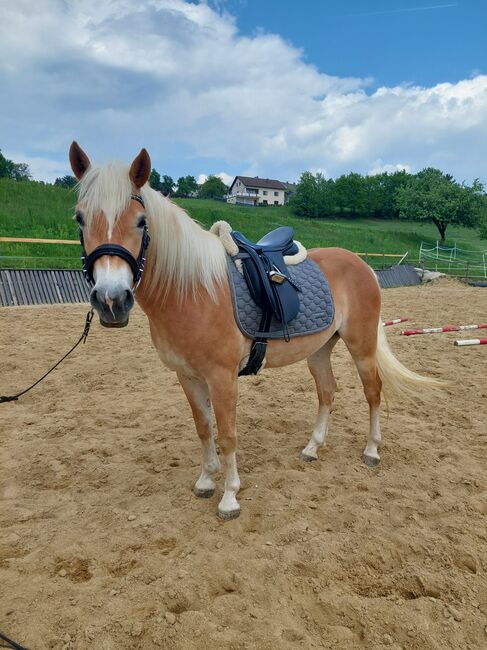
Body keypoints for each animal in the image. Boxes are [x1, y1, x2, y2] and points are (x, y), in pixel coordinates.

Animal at [68, 144, 442, 520]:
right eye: (80, 219)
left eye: (141, 221)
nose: (112, 300)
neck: (191, 290)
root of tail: (362, 264)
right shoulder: (187, 376)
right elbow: (204, 428)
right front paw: (206, 481)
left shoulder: (222, 377)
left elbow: (227, 434)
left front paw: (230, 497)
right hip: (320, 349)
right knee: (327, 391)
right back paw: (312, 448)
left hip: (361, 346)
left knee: (373, 391)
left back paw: (371, 451)